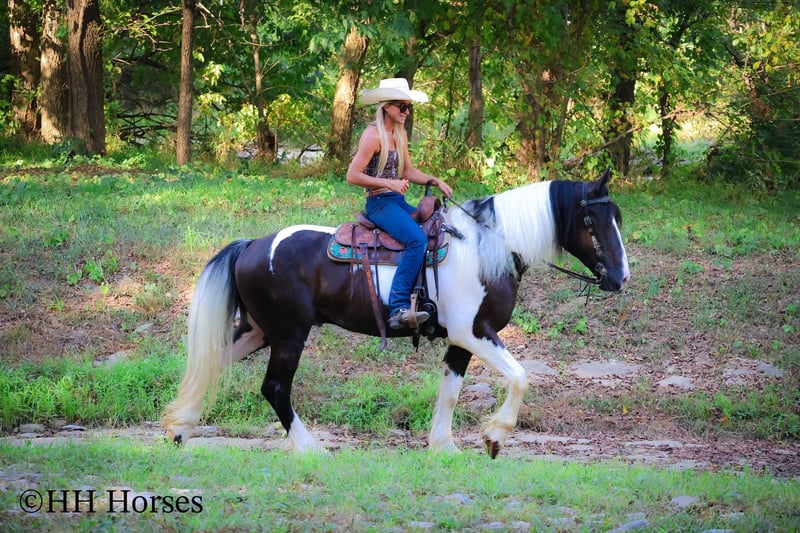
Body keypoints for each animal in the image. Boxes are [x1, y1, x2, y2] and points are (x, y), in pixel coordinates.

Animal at [161, 168, 630, 458]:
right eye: (591, 220)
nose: (621, 277)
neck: (486, 248)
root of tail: (251, 245)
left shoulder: (461, 341)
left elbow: (450, 391)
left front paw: (443, 447)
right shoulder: (475, 332)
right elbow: (520, 376)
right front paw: (494, 438)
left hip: (260, 331)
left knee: (211, 364)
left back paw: (179, 428)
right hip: (289, 335)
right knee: (275, 388)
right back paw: (311, 449)